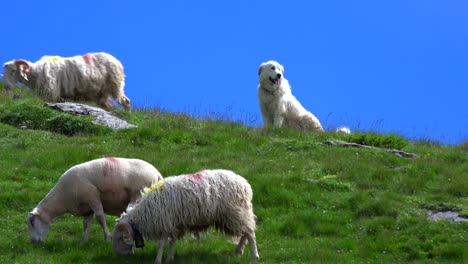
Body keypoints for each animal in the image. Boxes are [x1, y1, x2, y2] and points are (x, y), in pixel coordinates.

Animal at [3, 52, 132, 111]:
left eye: (13, 71)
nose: (6, 87)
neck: (36, 73)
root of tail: (117, 61)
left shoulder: (50, 94)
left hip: (115, 85)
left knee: (126, 102)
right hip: (101, 94)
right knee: (109, 106)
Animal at [27, 157, 164, 243]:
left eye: (32, 222)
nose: (33, 242)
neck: (62, 198)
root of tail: (157, 173)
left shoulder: (92, 197)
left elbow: (100, 218)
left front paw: (108, 237)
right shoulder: (86, 208)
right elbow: (86, 224)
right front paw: (83, 242)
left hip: (137, 194)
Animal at [112, 169, 260, 264]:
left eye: (120, 238)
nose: (119, 257)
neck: (143, 213)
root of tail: (246, 184)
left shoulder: (166, 221)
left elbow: (162, 243)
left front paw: (158, 260)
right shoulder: (175, 223)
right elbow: (172, 241)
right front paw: (169, 258)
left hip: (236, 213)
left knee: (250, 233)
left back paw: (254, 255)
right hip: (237, 215)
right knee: (246, 233)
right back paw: (238, 252)